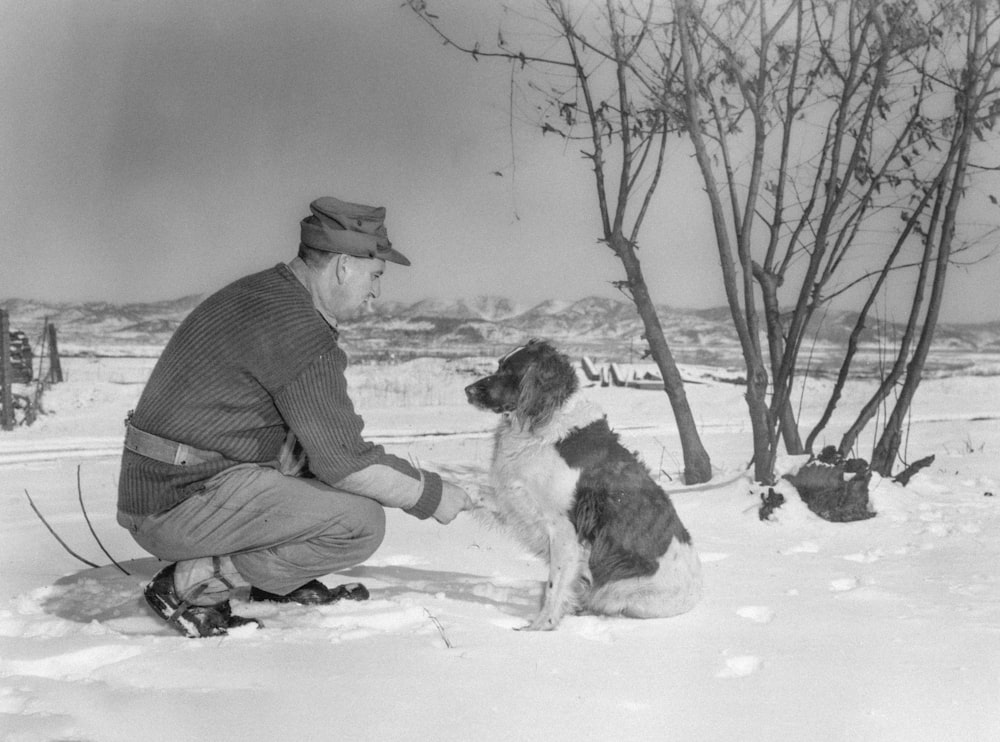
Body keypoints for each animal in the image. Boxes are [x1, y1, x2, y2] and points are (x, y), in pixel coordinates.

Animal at [462, 340, 704, 632]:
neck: (544, 426)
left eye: (510, 371)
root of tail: (697, 594)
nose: (468, 390)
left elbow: (554, 587)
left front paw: (538, 629)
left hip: (623, 595)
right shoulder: (517, 501)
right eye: (499, 365)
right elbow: (473, 489)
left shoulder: (564, 529)